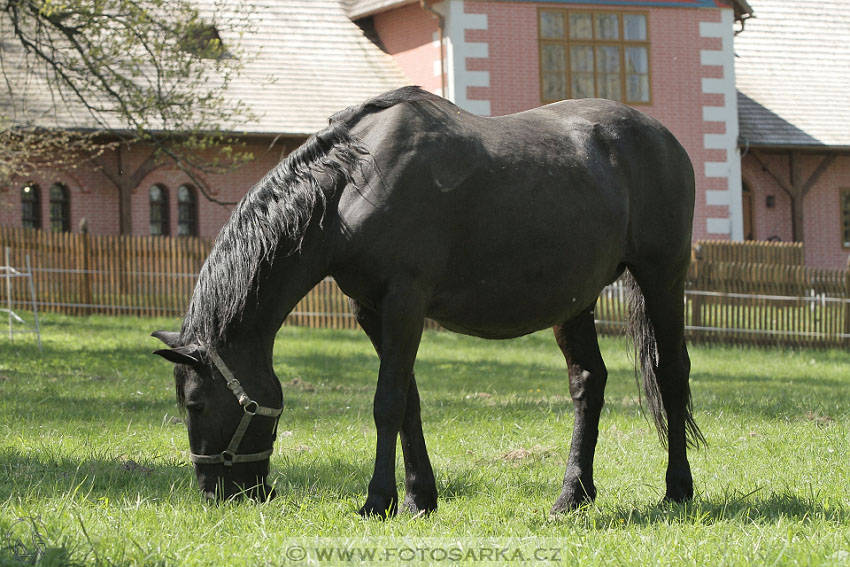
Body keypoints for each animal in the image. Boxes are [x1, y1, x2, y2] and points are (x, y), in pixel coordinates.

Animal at [154, 86, 704, 516]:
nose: (214, 494)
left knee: (672, 373)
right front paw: (420, 498)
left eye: (195, 404)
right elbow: (409, 404)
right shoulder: (372, 311)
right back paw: (573, 495)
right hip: (576, 302)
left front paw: (377, 501)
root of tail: (664, 137)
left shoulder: (405, 301)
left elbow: (387, 403)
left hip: (662, 278)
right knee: (589, 382)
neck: (354, 182)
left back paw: (677, 489)